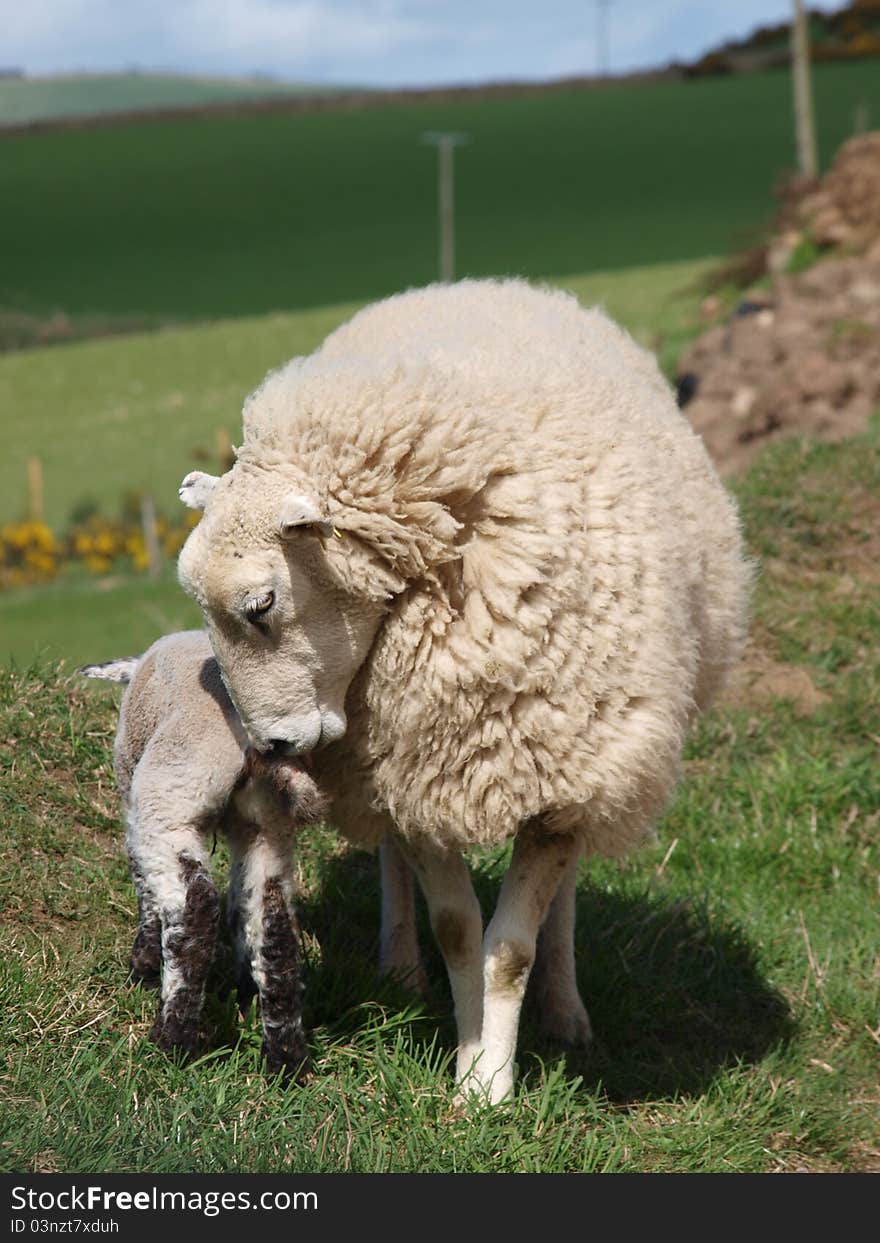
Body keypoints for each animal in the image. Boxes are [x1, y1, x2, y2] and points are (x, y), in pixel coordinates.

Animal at [77, 631, 325, 1078]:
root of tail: (255, 744)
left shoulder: (134, 801)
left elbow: (143, 886)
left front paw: (143, 963)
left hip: (171, 798)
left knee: (196, 908)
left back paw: (173, 1040)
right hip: (268, 822)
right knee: (274, 923)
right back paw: (286, 1059)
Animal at [176, 279, 750, 1098]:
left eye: (261, 604)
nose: (273, 745)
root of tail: (477, 285)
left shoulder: (560, 777)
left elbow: (510, 948)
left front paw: (490, 1088)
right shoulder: (414, 766)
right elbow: (456, 928)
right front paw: (469, 1060)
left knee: (563, 899)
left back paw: (565, 1007)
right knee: (390, 857)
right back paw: (400, 965)